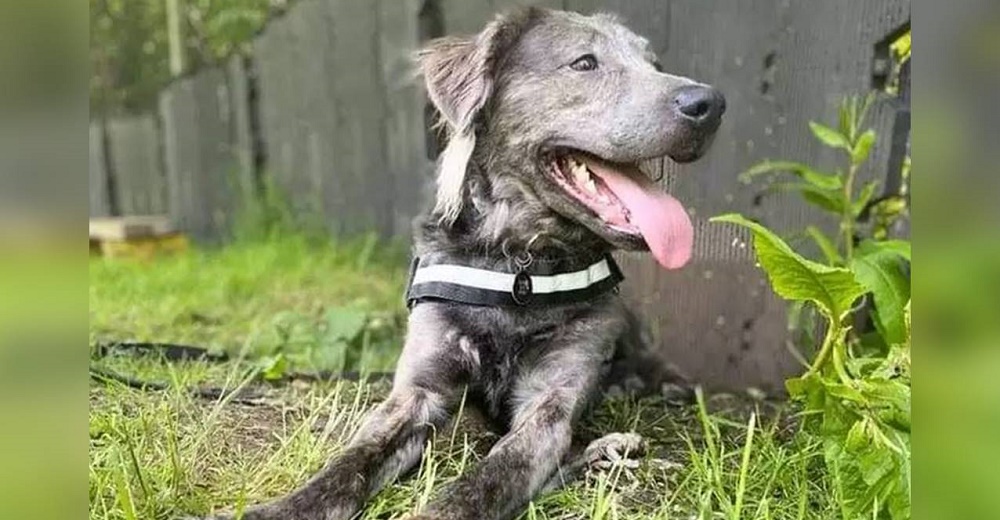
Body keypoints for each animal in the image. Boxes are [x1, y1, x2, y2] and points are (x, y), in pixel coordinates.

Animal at [203, 8, 724, 520]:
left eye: (655, 64)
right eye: (584, 63)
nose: (711, 103)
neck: (519, 266)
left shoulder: (549, 406)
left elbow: (486, 479)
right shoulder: (416, 393)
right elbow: (348, 464)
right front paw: (283, 508)